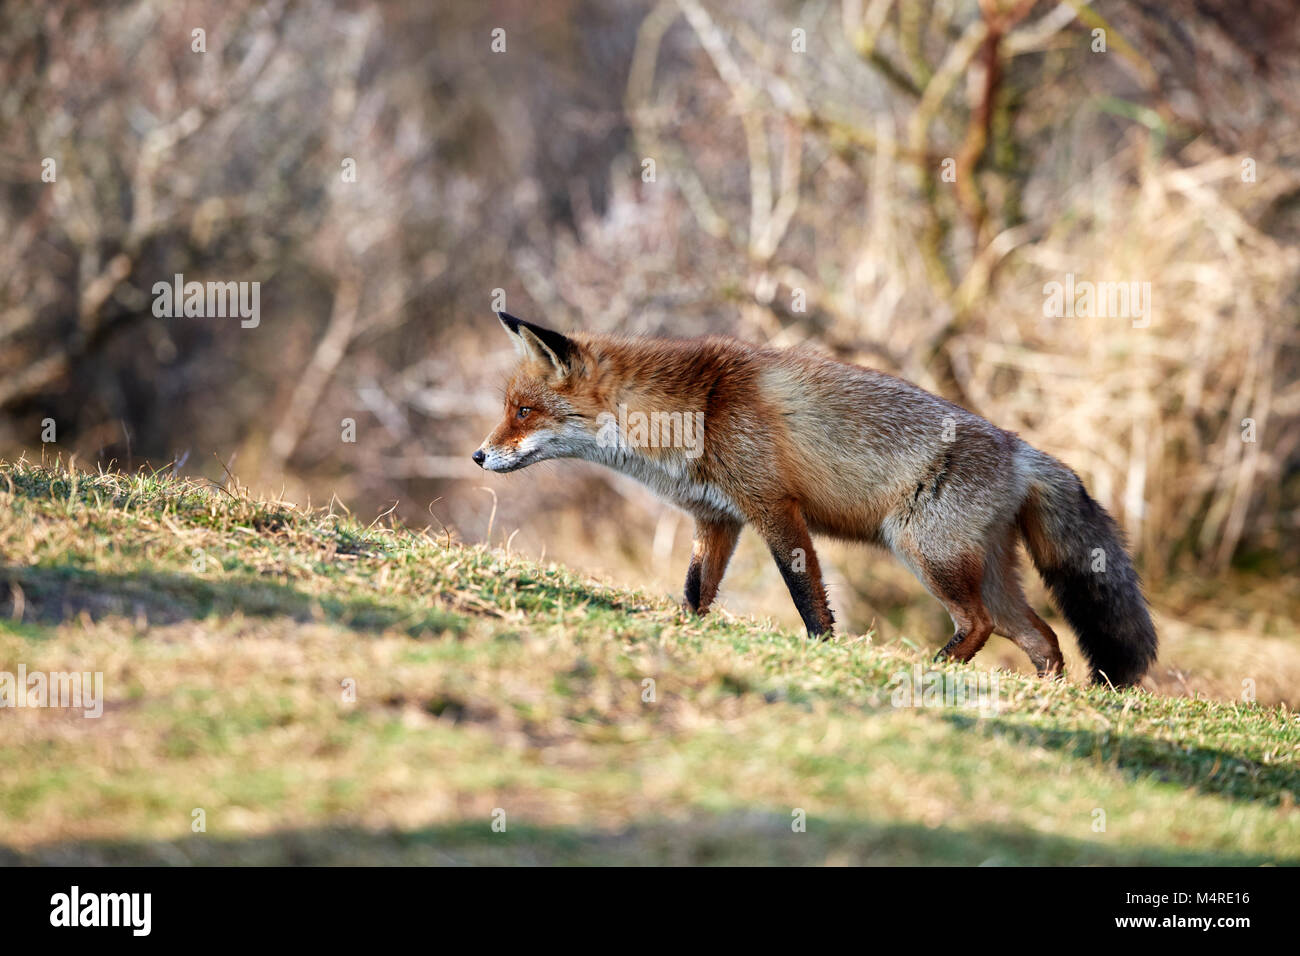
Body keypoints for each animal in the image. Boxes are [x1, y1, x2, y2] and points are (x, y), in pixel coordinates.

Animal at [473, 311, 1158, 686]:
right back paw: (1049, 697)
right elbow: (696, 592)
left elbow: (808, 597)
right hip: (983, 571)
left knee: (982, 624)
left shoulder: (775, 508)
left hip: (926, 554)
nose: (478, 456)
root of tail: (1020, 449)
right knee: (1044, 639)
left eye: (523, 411)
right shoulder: (717, 519)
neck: (690, 411)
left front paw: (825, 653)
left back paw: (931, 668)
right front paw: (685, 632)